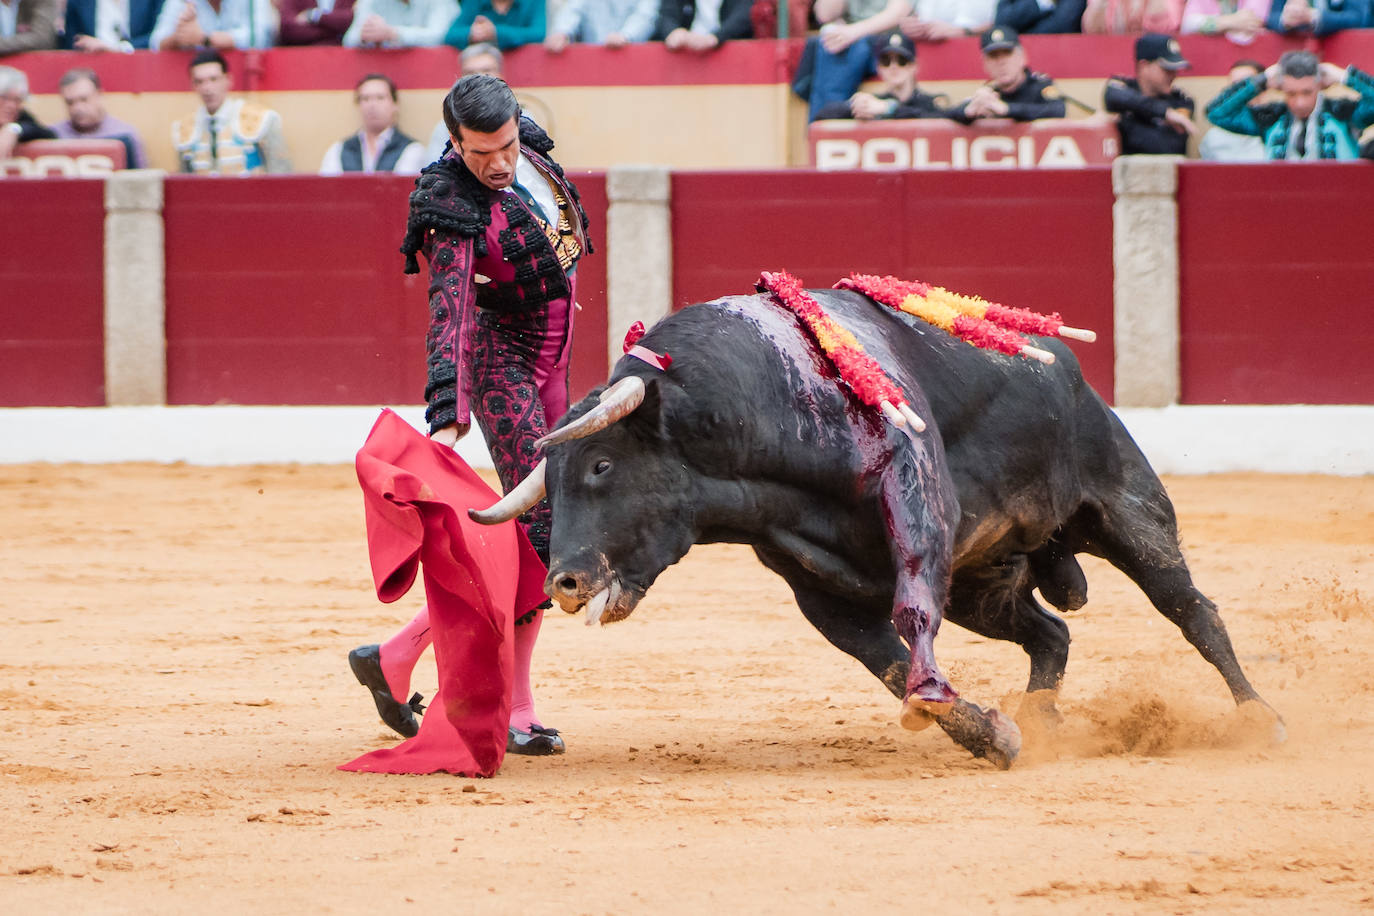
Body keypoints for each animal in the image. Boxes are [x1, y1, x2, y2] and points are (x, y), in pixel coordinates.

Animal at [472, 287, 1275, 769]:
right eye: (554, 477)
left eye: (602, 465)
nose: (564, 581)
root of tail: (1061, 361)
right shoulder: (818, 589)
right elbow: (884, 664)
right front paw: (990, 733)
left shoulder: (917, 496)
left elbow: (911, 611)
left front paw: (944, 701)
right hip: (984, 586)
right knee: (1052, 633)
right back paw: (1041, 723)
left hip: (1125, 505)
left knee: (1191, 610)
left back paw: (1262, 719)